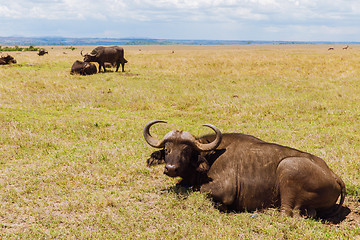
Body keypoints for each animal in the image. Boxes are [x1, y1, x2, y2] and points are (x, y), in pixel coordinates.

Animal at [143, 120, 346, 218]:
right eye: (167, 149)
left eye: (186, 150)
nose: (171, 168)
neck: (210, 155)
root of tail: (333, 175)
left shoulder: (224, 190)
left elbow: (201, 190)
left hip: (287, 167)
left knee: (287, 212)